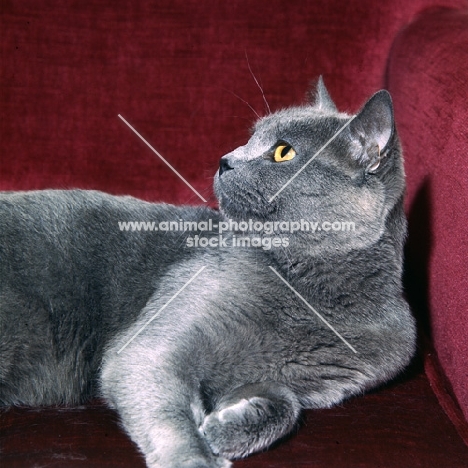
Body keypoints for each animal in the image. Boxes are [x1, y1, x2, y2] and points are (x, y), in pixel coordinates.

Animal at [0, 78, 416, 466]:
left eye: (283, 151)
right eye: (250, 138)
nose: (224, 159)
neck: (313, 297)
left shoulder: (305, 383)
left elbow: (287, 404)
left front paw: (221, 431)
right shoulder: (149, 347)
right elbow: (169, 410)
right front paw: (196, 455)